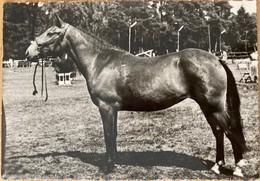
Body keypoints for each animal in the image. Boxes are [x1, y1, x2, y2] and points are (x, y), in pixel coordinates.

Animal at [25, 15, 247, 177]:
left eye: (51, 33)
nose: (28, 52)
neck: (101, 62)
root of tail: (216, 60)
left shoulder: (106, 107)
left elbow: (107, 135)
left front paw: (108, 167)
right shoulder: (113, 109)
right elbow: (113, 134)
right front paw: (115, 161)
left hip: (215, 107)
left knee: (231, 131)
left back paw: (238, 168)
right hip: (207, 107)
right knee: (219, 132)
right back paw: (217, 166)